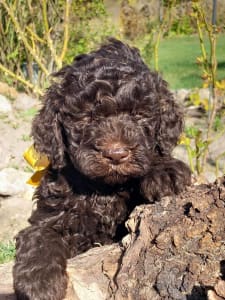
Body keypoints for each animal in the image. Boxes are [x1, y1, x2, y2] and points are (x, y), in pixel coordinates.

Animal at [13, 38, 191, 298]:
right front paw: (39, 282)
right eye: (85, 118)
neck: (104, 189)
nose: (116, 154)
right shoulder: (51, 214)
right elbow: (38, 235)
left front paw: (164, 171)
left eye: (139, 114)